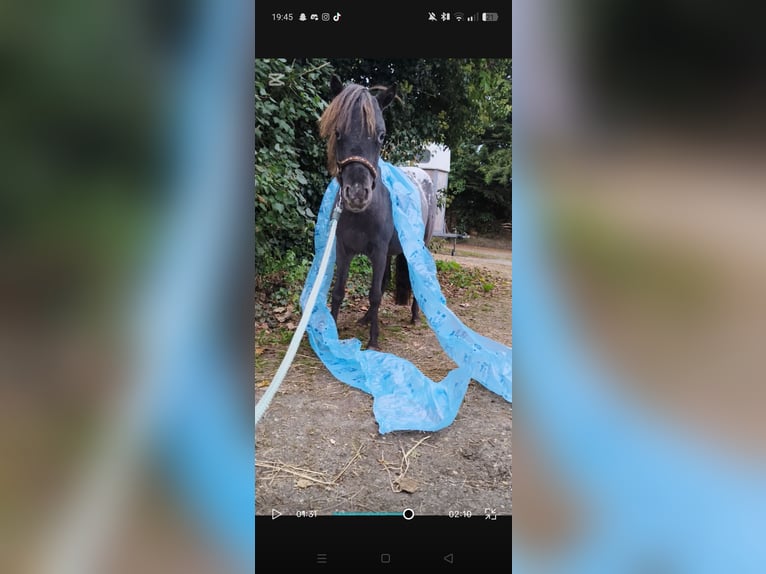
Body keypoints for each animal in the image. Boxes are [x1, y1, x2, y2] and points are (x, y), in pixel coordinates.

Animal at [318, 75, 437, 349]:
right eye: (337, 133)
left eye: (381, 136)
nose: (357, 194)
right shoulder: (344, 251)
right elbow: (338, 291)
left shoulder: (379, 253)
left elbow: (374, 295)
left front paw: (373, 341)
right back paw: (364, 319)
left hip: (417, 247)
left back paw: (415, 316)